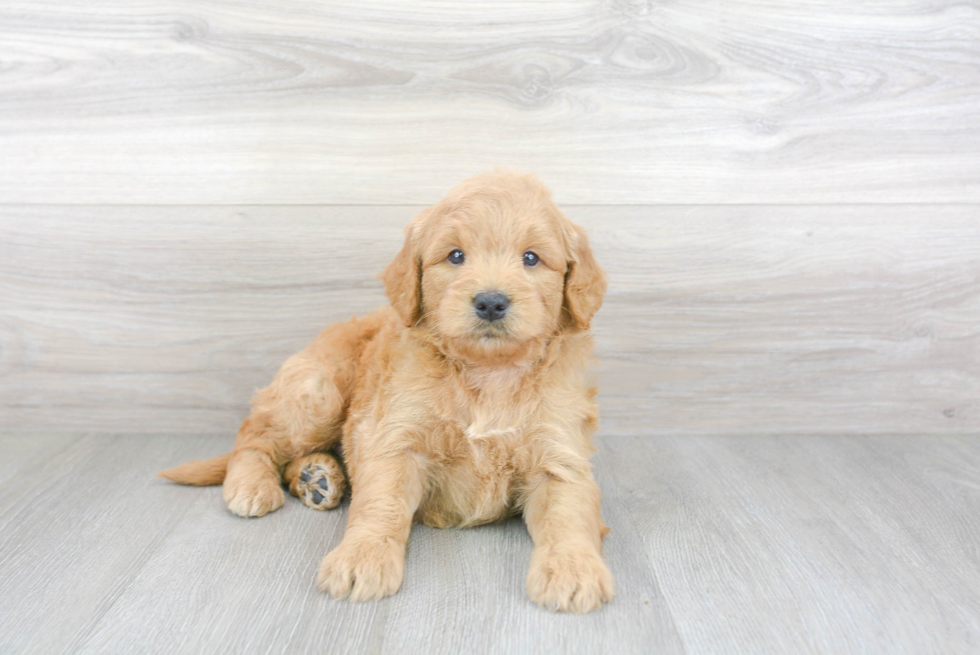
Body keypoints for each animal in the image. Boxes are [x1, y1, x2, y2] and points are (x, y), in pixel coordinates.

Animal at [161, 170, 612, 616]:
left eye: (531, 258)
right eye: (455, 256)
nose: (490, 302)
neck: (487, 375)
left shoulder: (559, 456)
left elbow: (568, 515)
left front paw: (573, 569)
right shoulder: (396, 440)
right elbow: (382, 502)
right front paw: (363, 557)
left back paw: (316, 478)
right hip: (318, 393)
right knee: (254, 434)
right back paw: (253, 485)